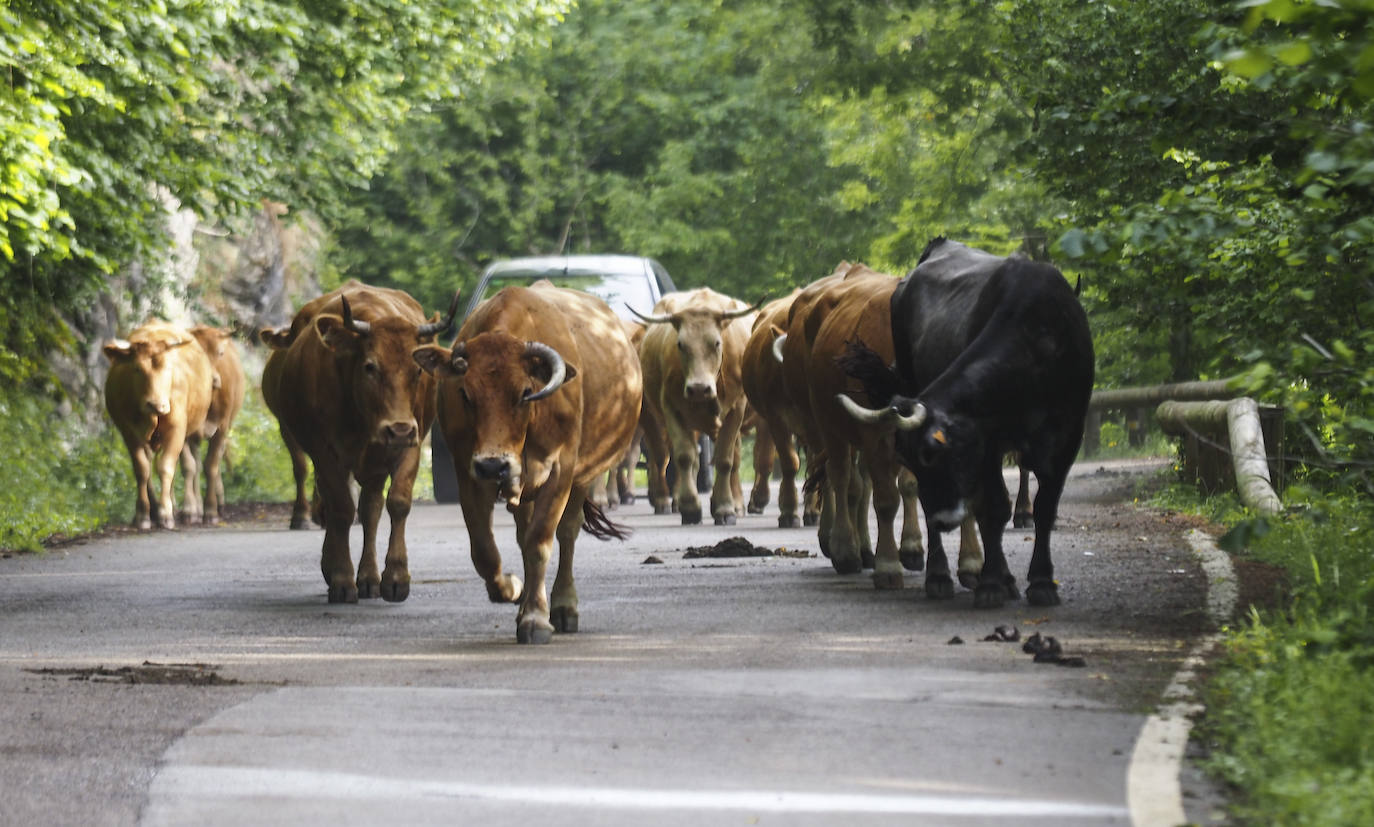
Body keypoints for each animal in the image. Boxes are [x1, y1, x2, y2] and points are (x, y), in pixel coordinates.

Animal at [103, 320, 214, 527]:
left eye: (168, 368)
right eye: (137, 368)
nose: (156, 404)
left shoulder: (177, 429)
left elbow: (166, 467)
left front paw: (165, 513)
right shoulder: (128, 431)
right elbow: (142, 470)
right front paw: (143, 514)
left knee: (185, 466)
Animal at [184, 324, 245, 522]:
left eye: (220, 353)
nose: (213, 380)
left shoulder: (222, 427)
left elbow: (211, 466)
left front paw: (211, 510)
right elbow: (189, 466)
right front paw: (190, 509)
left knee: (215, 459)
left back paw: (219, 502)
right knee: (196, 463)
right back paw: (197, 506)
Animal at [255, 280, 453, 601]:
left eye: (417, 369)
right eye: (370, 366)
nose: (398, 429)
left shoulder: (411, 443)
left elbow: (397, 502)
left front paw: (396, 577)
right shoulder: (324, 452)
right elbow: (341, 508)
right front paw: (341, 578)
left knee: (370, 509)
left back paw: (370, 577)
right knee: (339, 504)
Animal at [412, 280, 643, 640]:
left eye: (524, 392)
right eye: (465, 394)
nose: (494, 465)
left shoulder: (561, 471)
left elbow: (540, 542)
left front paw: (536, 617)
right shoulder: (468, 473)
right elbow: (484, 549)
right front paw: (511, 589)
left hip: (583, 476)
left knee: (567, 533)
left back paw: (563, 606)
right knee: (522, 534)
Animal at [835, 237, 1093, 604]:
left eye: (933, 453)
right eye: (911, 459)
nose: (943, 520)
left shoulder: (1068, 435)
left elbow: (1045, 507)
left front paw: (1041, 582)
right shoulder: (988, 443)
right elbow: (993, 508)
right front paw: (992, 582)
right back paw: (939, 576)